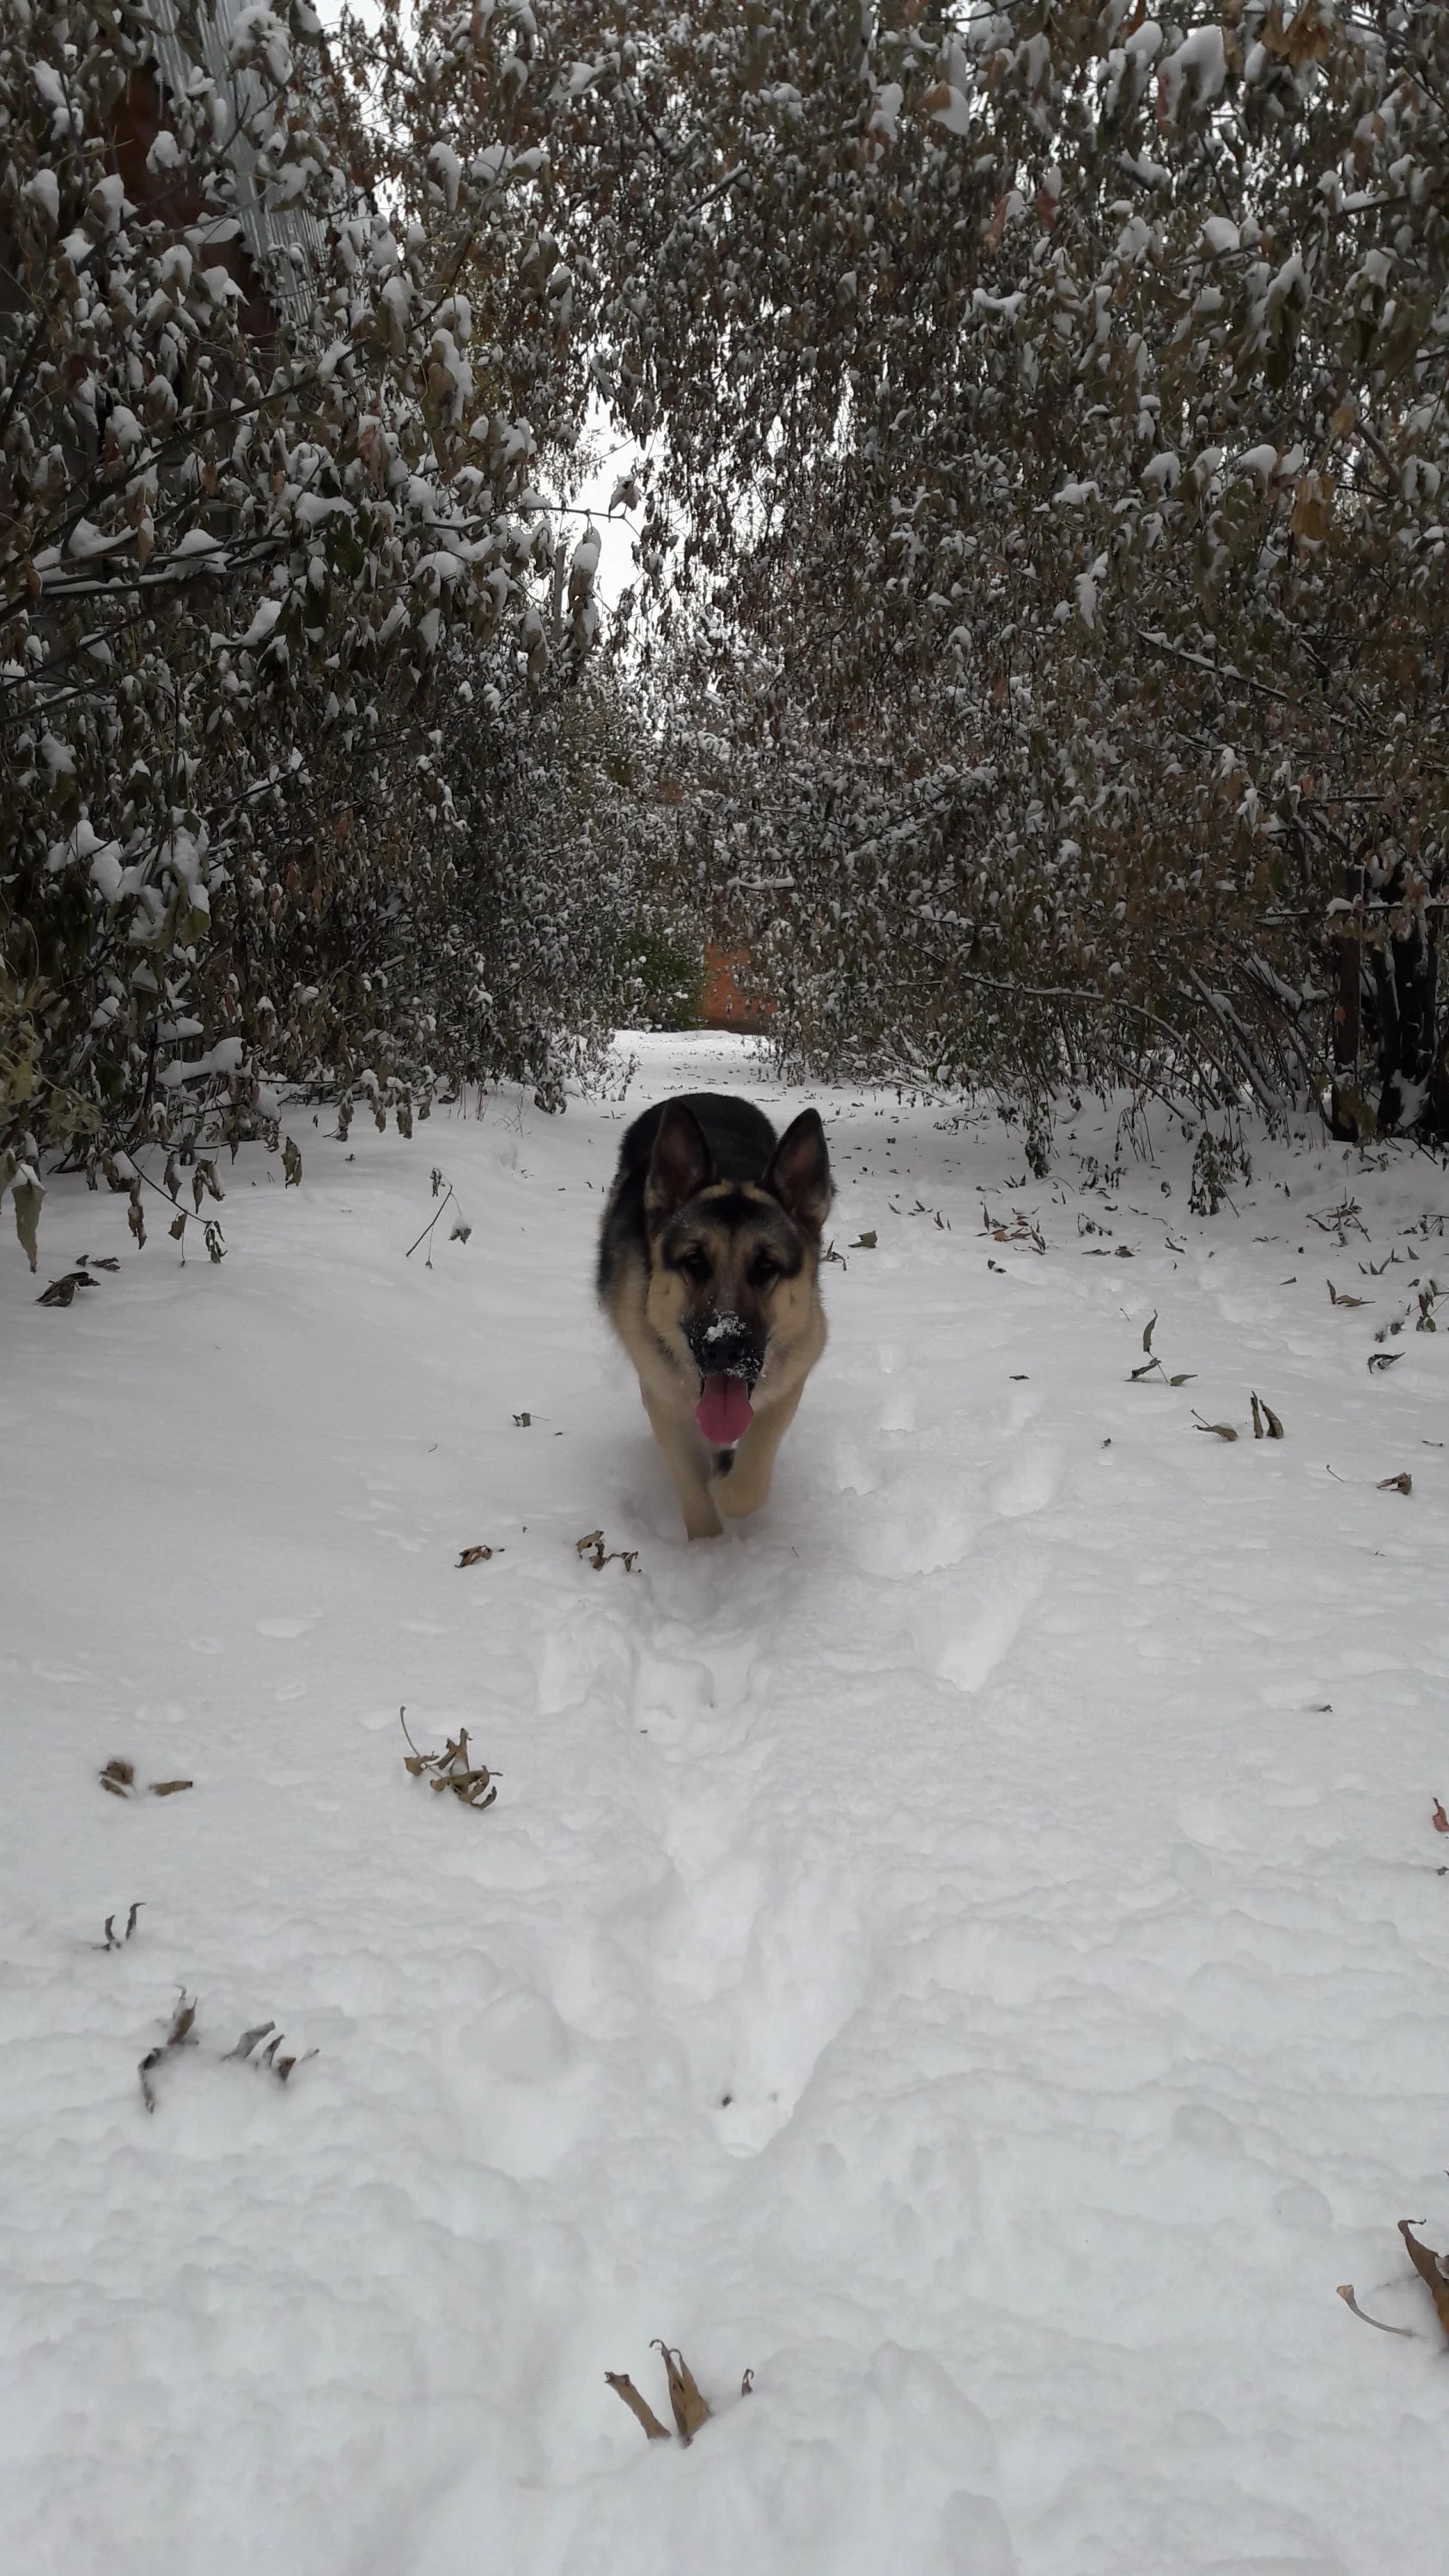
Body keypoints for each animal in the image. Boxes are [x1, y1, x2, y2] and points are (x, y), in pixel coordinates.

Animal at [597, 1092, 832, 1538]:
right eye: (694, 1262)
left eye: (766, 1266)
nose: (724, 1350)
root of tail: (706, 1095)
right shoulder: (663, 1398)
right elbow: (693, 1487)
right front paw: (707, 1549)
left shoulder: (791, 1378)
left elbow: (749, 1480)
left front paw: (727, 1484)